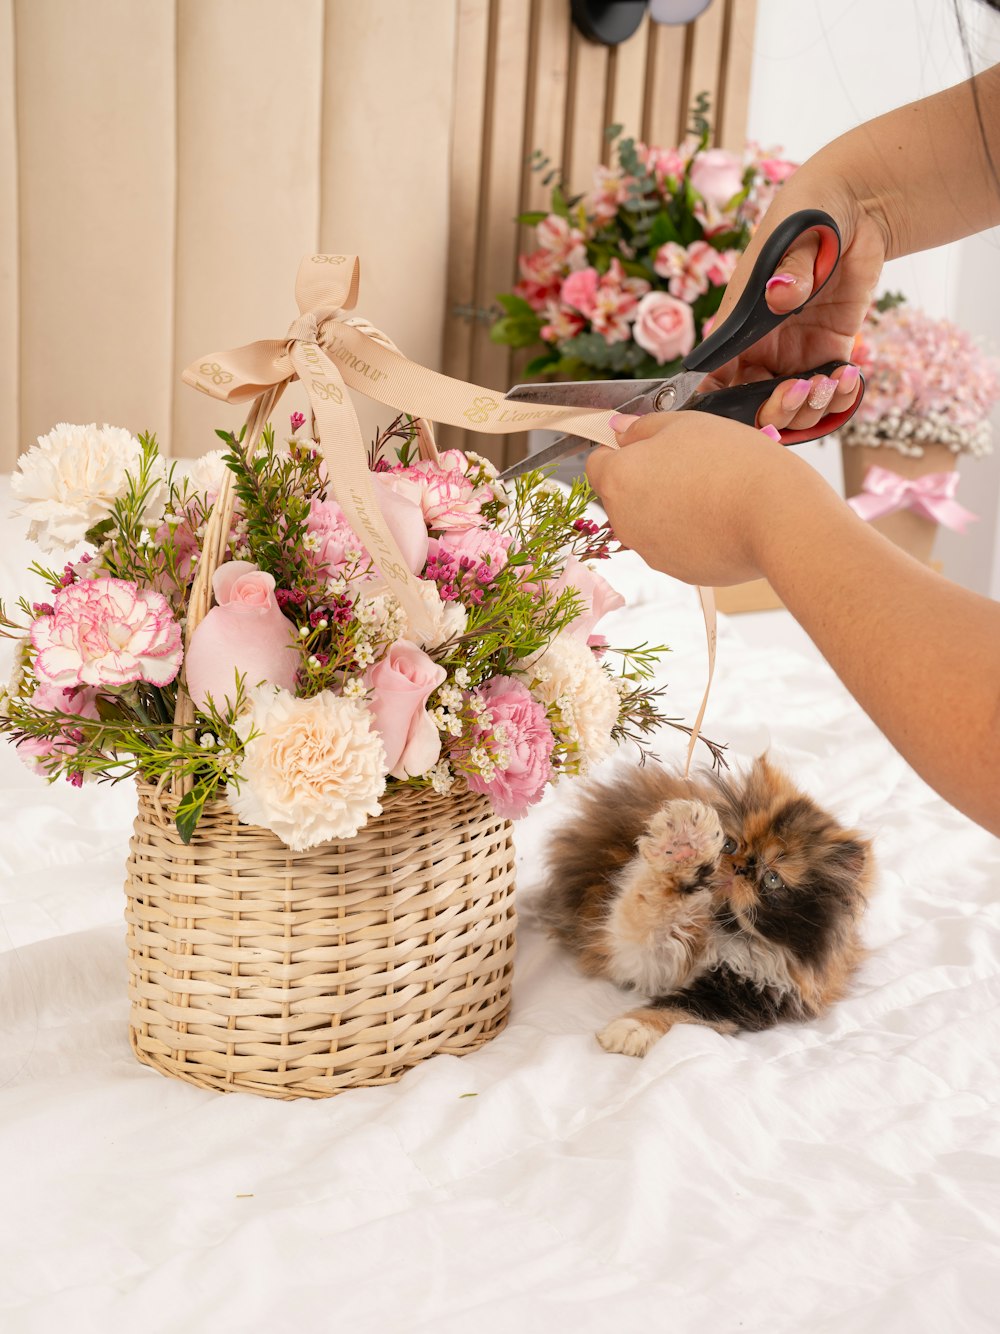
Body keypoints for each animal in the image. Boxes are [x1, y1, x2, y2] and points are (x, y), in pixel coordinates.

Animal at [541, 757, 874, 1056]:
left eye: (773, 879)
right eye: (730, 845)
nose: (740, 867)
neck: (723, 931)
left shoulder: (749, 993)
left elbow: (681, 1007)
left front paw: (631, 1029)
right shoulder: (644, 955)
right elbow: (653, 906)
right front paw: (684, 843)